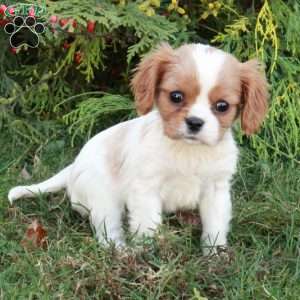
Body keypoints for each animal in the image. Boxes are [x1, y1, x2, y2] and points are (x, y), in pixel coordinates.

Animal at [8, 43, 268, 254]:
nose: (195, 122)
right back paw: (123, 254)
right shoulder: (146, 189)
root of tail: (73, 166)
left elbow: (215, 226)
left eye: (222, 106)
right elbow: (147, 224)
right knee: (108, 231)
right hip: (103, 197)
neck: (188, 150)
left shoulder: (216, 190)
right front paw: (148, 254)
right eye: (176, 96)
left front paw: (215, 256)